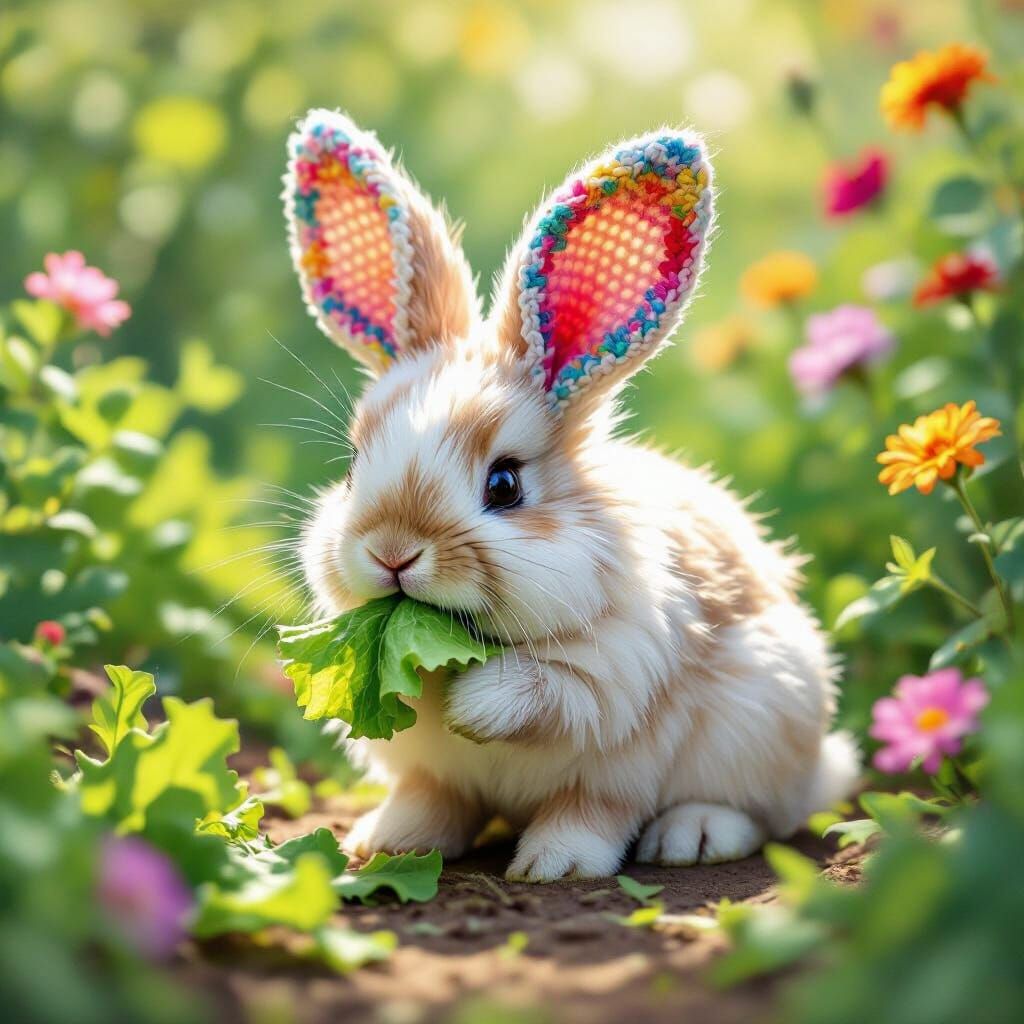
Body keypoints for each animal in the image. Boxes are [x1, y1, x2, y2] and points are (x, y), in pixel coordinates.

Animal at [283, 109, 860, 882]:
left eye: (505, 485)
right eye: (350, 467)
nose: (393, 553)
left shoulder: (612, 678)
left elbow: (549, 702)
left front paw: (473, 712)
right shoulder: (431, 766)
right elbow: (434, 787)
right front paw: (388, 840)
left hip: (763, 715)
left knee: (729, 810)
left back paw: (659, 842)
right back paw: (392, 838)